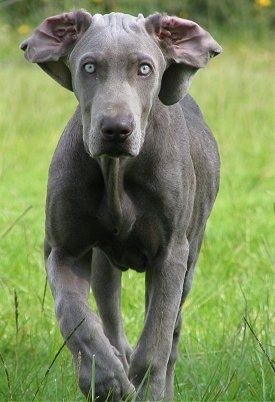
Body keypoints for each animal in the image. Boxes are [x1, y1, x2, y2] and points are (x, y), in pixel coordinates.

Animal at [21, 9, 223, 402]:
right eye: (88, 67)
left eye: (145, 68)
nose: (116, 129)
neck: (115, 170)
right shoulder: (63, 250)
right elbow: (73, 315)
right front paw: (105, 380)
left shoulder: (171, 256)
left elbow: (156, 343)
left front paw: (147, 390)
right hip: (104, 264)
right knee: (110, 317)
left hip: (190, 258)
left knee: (171, 334)